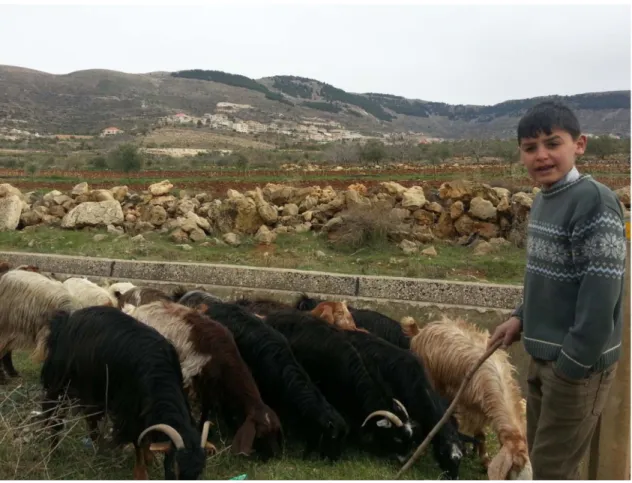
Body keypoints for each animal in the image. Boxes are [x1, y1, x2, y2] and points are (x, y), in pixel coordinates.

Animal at [40, 306, 210, 480]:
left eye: (199, 472)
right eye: (174, 468)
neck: (158, 373)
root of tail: (65, 320)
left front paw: (150, 458)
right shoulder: (130, 410)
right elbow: (139, 439)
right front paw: (141, 473)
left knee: (90, 417)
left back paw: (99, 446)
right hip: (60, 381)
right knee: (54, 413)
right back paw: (54, 449)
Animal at [122, 300, 282, 464]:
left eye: (275, 431)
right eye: (260, 435)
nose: (275, 456)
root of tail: (135, 310)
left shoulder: (210, 382)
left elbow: (207, 406)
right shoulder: (190, 374)